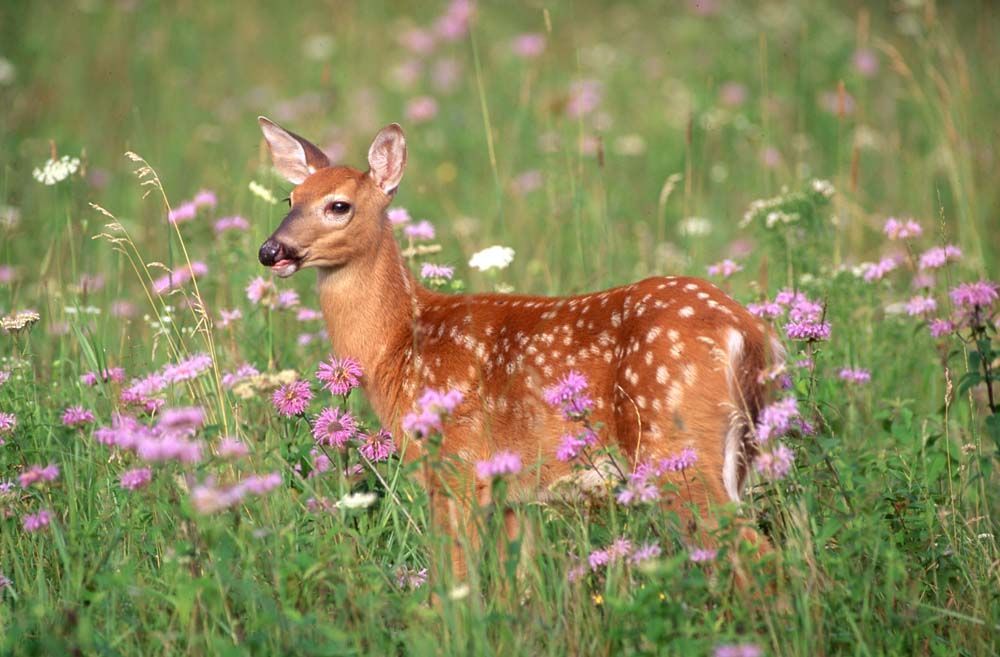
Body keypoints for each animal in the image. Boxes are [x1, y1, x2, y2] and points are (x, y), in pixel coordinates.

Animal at [256, 117, 782, 582]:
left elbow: (456, 580)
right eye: (290, 198)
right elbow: (520, 585)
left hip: (671, 442)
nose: (270, 250)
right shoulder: (513, 490)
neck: (403, 344)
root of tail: (747, 332)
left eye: (338, 205)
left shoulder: (458, 465)